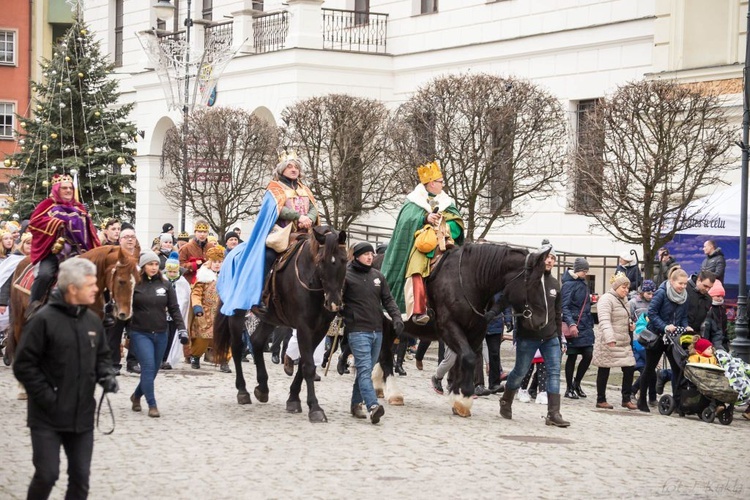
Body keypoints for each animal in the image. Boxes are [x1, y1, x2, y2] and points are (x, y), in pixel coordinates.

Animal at [214, 227, 350, 422]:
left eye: (344, 260)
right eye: (321, 261)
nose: (334, 303)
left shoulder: (320, 329)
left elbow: (303, 364)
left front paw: (293, 399)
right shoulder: (304, 327)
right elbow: (308, 366)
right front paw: (315, 408)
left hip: (270, 318)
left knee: (256, 342)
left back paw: (262, 388)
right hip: (236, 312)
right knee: (237, 347)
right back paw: (243, 391)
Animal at [374, 244, 552, 416]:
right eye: (535, 282)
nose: (542, 320)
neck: (469, 281)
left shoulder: (475, 333)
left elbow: (463, 361)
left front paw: (457, 398)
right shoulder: (449, 328)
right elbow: (469, 358)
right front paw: (464, 398)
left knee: (383, 354)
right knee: (386, 357)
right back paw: (394, 393)